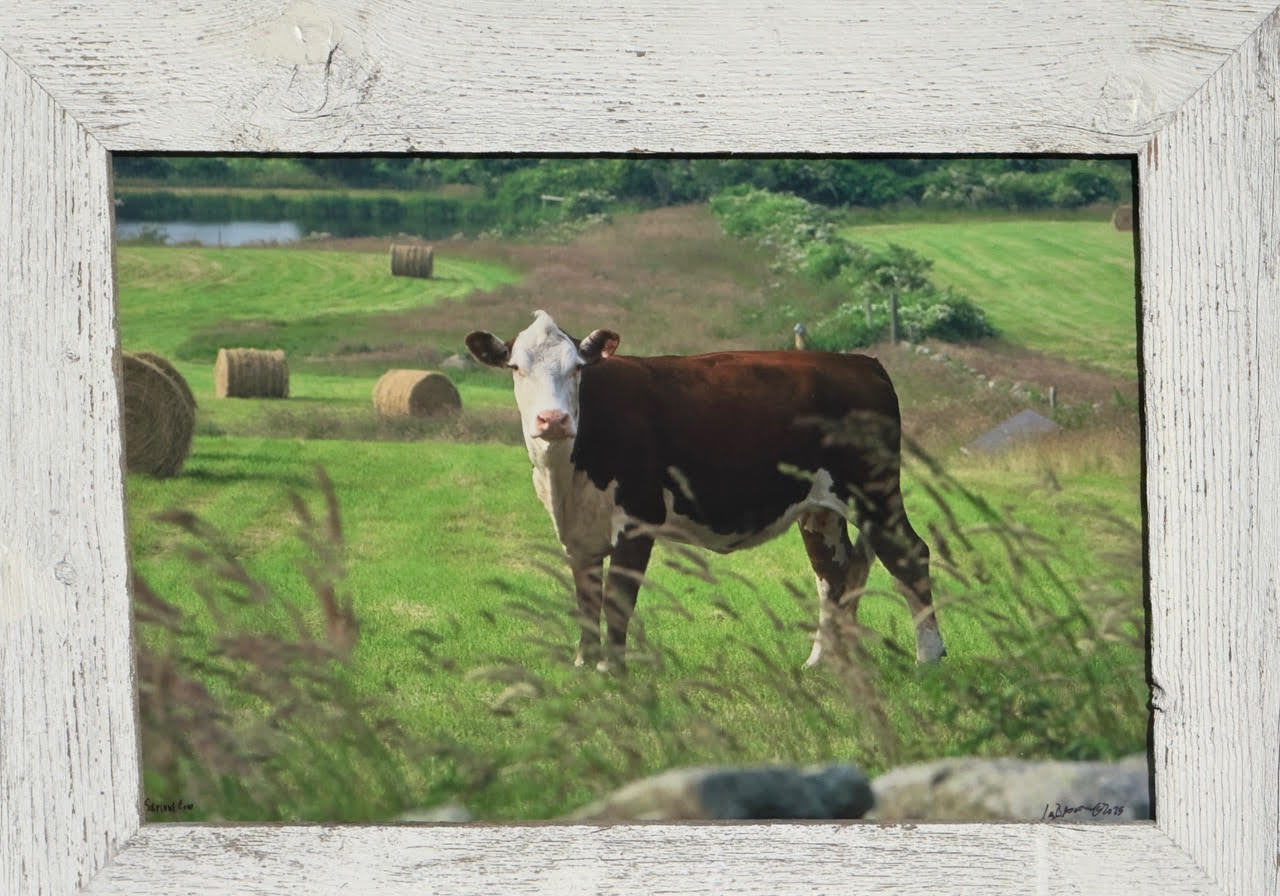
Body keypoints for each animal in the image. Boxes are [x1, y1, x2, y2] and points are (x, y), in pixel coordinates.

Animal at [466, 310, 945, 672]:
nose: (553, 419)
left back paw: (928, 657)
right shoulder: (577, 532)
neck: (567, 475)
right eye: (515, 367)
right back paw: (823, 662)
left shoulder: (638, 518)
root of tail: (860, 362)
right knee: (834, 574)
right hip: (821, 508)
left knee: (909, 555)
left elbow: (618, 599)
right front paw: (584, 665)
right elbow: (586, 598)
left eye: (577, 368)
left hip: (875, 492)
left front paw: (612, 671)